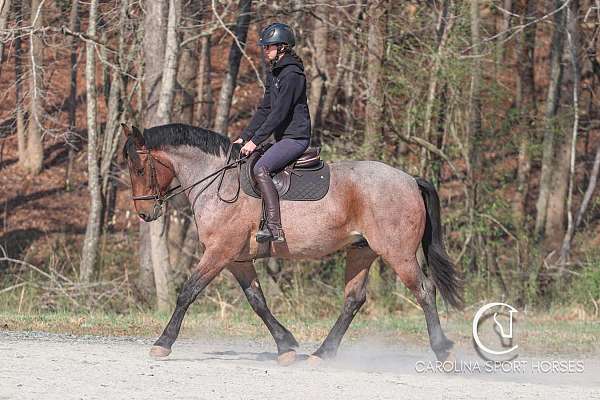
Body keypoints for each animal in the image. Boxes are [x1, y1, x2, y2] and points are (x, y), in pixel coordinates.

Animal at [119, 123, 462, 364]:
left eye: (140, 168)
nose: (145, 213)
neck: (218, 182)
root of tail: (410, 179)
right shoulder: (237, 260)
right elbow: (257, 301)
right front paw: (285, 345)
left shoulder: (219, 253)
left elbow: (187, 293)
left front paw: (162, 343)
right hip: (362, 252)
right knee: (353, 299)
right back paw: (322, 353)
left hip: (398, 253)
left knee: (424, 290)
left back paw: (442, 349)